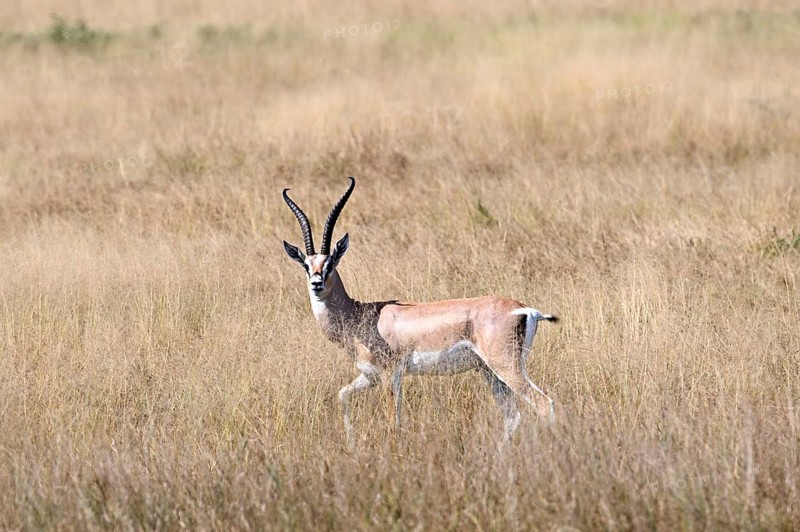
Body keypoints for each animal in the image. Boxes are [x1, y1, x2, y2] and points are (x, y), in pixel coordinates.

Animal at [282, 177, 558, 445]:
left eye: (330, 263)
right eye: (306, 265)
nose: (316, 284)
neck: (360, 316)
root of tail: (524, 309)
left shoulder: (389, 375)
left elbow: (394, 421)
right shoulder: (370, 376)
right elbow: (343, 396)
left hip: (505, 366)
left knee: (544, 404)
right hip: (489, 372)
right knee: (513, 416)